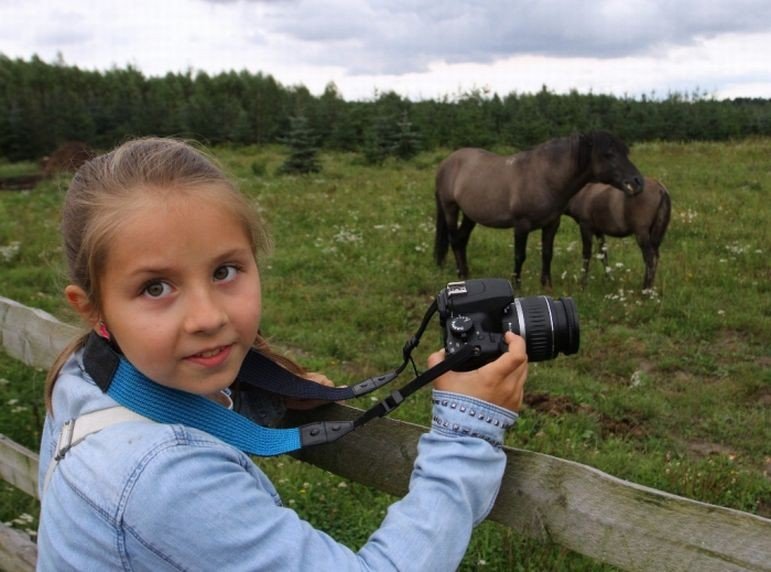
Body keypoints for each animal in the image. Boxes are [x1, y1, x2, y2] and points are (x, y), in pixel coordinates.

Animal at [434, 131, 644, 288]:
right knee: (455, 240)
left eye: (625, 152)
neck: (544, 177)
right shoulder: (521, 225)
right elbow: (519, 255)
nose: (637, 182)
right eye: (608, 154)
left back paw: (467, 274)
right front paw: (516, 285)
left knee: (462, 240)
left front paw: (546, 285)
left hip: (470, 215)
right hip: (450, 208)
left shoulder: (551, 224)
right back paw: (461, 274)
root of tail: (446, 162)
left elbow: (547, 253)